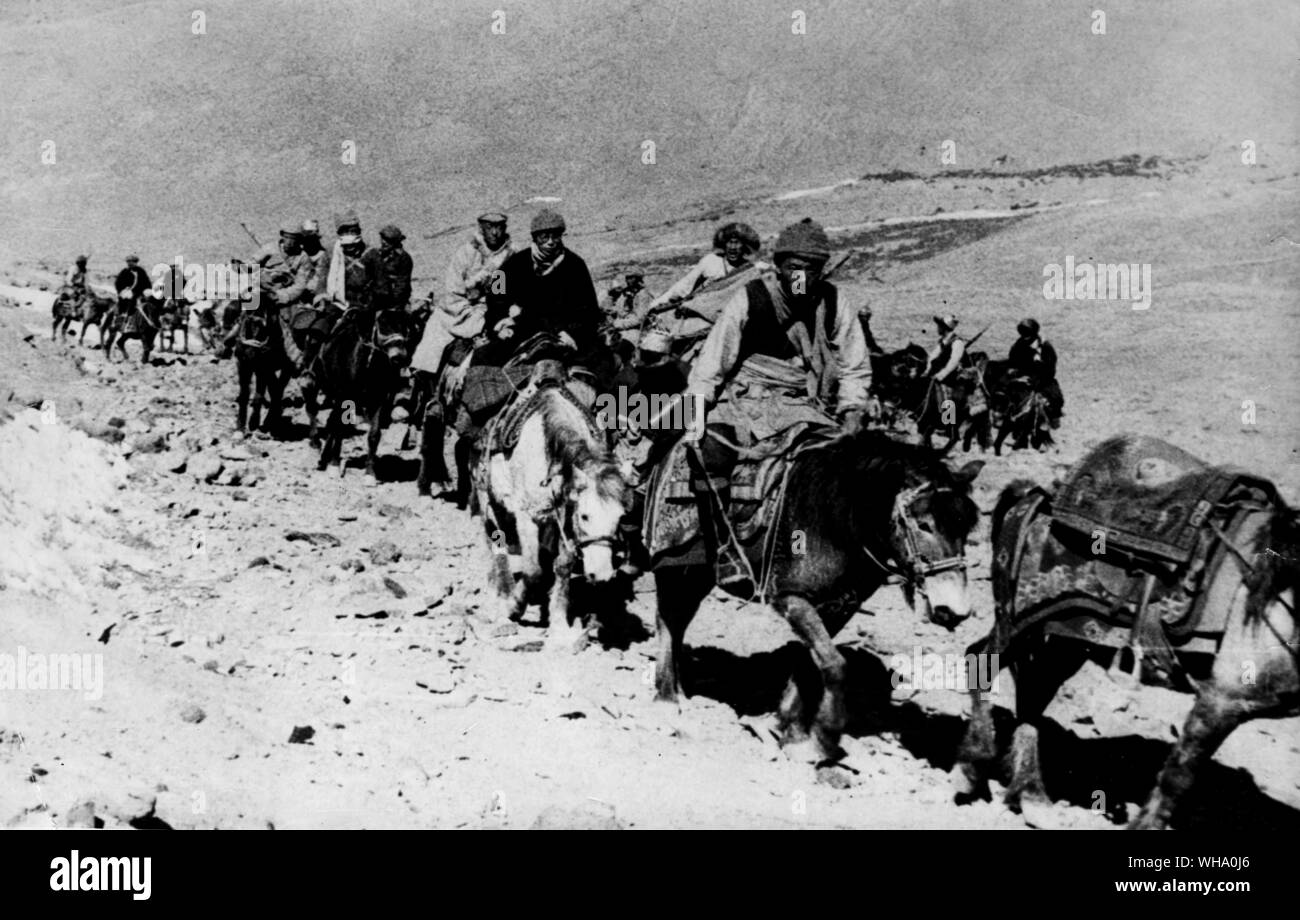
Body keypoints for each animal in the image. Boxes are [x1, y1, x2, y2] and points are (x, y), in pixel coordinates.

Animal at [301, 310, 408, 480]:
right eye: (383, 325)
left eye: (405, 327)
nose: (400, 357)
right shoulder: (342, 397)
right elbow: (339, 428)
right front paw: (334, 465)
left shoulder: (378, 401)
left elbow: (374, 434)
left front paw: (370, 473)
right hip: (313, 383)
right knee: (312, 409)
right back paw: (316, 444)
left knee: (331, 421)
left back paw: (324, 456)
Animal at [480, 374, 631, 647]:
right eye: (585, 516)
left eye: (620, 518)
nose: (602, 575)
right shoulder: (527, 517)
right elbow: (532, 572)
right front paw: (512, 607)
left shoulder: (563, 518)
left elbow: (563, 566)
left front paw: (560, 623)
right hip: (489, 500)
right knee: (496, 543)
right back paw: (500, 591)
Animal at [655, 431, 977, 764]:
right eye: (923, 524)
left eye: (966, 526)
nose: (953, 610)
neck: (837, 521)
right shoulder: (792, 598)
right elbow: (835, 665)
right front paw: (822, 738)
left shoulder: (838, 608)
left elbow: (809, 663)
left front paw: (791, 732)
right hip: (677, 570)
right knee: (668, 621)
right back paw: (666, 700)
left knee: (678, 622)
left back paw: (681, 690)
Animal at [951, 449, 1294, 831]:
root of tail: (1031, 493)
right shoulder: (1222, 698)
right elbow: (1176, 779)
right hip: (1018, 622)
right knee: (980, 662)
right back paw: (970, 769)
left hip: (1064, 639)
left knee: (1031, 694)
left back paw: (1032, 797)